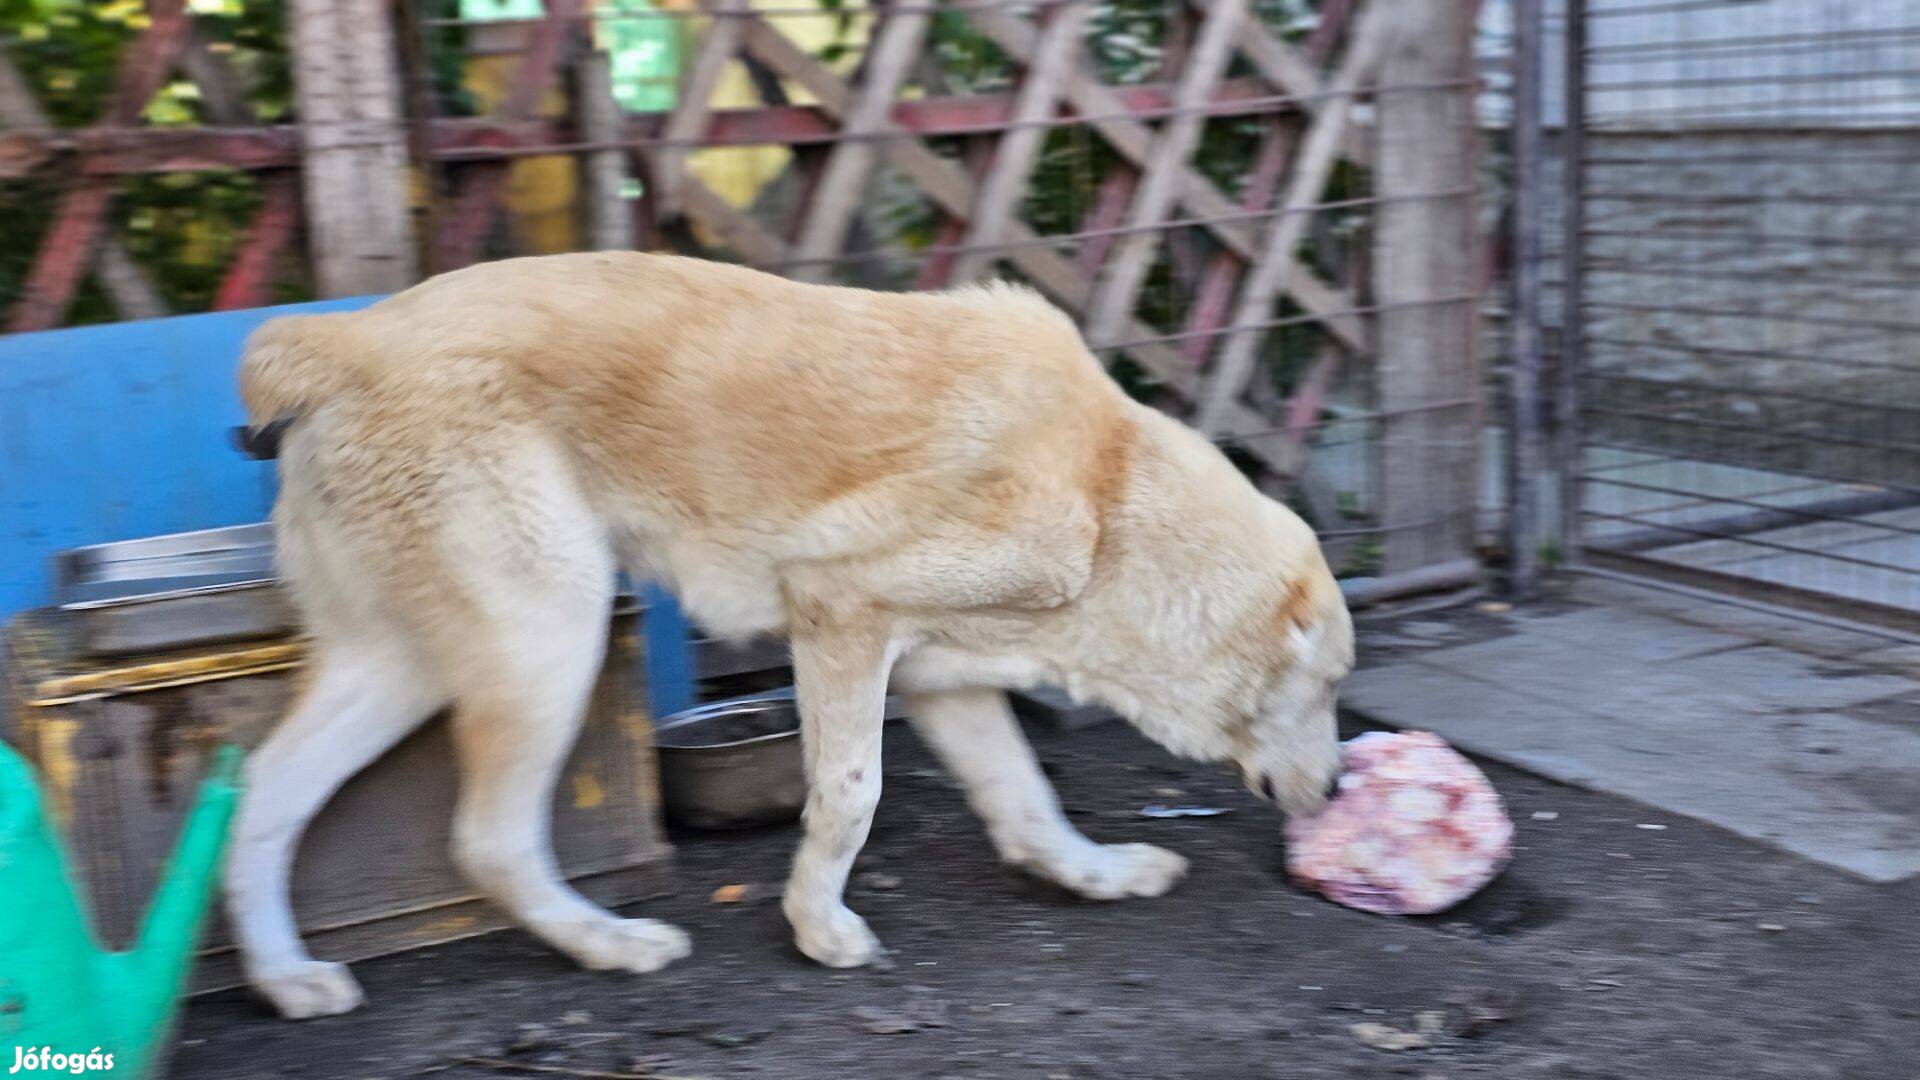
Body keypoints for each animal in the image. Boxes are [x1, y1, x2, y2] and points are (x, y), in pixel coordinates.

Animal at [224, 251, 1351, 1014]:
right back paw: (608, 945)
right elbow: (852, 797)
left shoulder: (945, 682)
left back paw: (290, 980)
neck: (1108, 494)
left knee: (262, 802)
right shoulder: (841, 616)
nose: (1341, 789)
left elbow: (1029, 808)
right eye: (1334, 689)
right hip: (549, 636)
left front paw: (1098, 877)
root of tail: (338, 343)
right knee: (490, 841)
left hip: (401, 667)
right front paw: (819, 929)